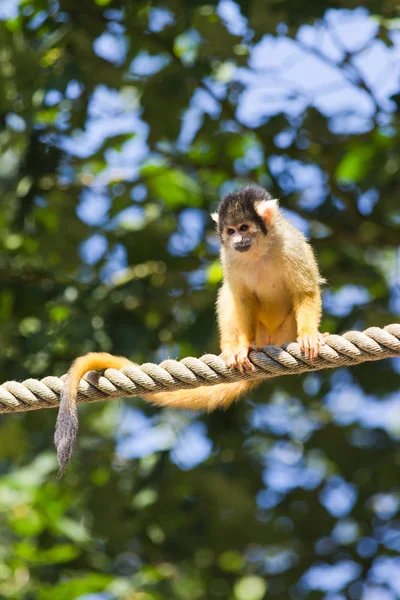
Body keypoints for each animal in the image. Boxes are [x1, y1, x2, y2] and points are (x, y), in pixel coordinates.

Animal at [54, 185, 326, 476]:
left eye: (244, 227)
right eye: (230, 231)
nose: (237, 241)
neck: (258, 249)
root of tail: (271, 340)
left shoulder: (291, 243)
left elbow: (305, 291)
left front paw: (309, 335)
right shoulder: (228, 257)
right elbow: (241, 299)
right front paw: (242, 345)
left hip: (285, 329)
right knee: (229, 293)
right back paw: (236, 348)